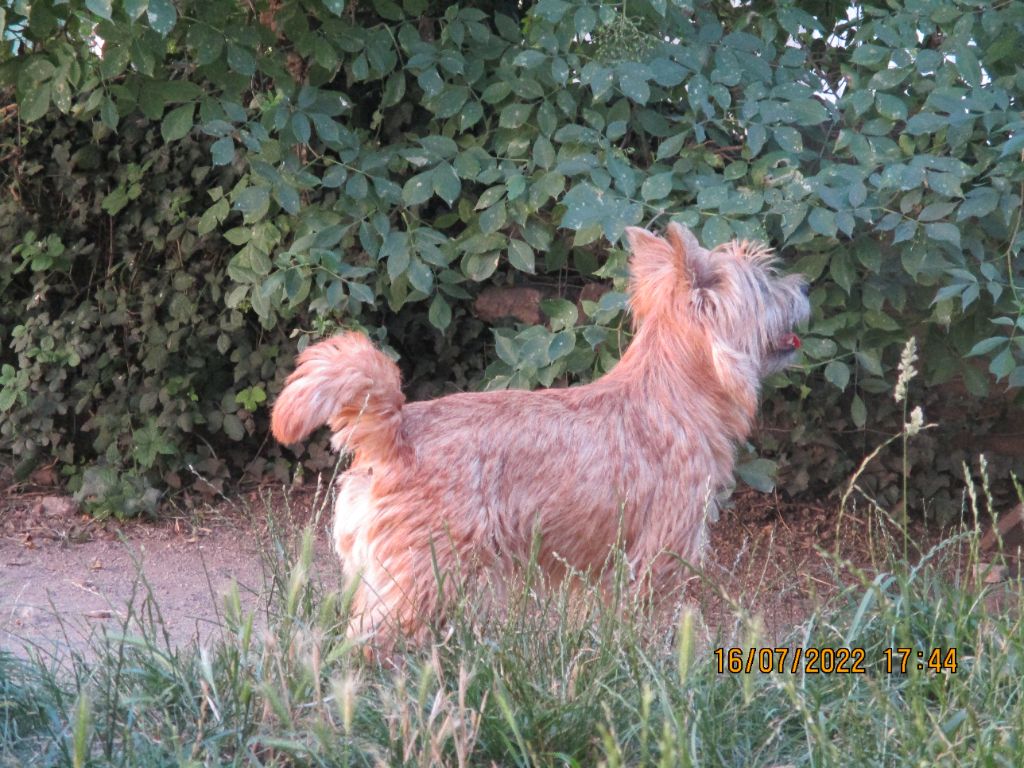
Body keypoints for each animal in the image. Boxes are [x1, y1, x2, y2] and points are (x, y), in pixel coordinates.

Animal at [270, 224, 806, 643]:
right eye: (766, 284)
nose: (803, 288)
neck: (670, 391)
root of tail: (396, 429)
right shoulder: (653, 561)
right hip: (418, 580)